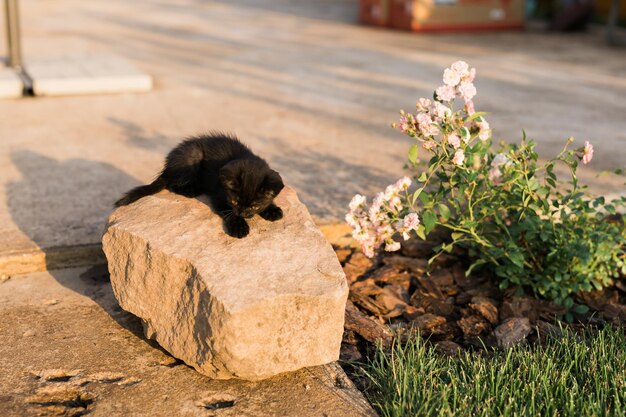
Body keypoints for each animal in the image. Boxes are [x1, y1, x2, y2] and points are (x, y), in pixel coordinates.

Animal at [114, 133, 282, 237]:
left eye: (254, 206)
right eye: (234, 202)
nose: (243, 214)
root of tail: (168, 166)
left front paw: (272, 210)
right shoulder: (219, 195)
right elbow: (228, 212)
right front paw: (238, 226)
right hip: (192, 156)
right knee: (172, 184)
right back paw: (191, 190)